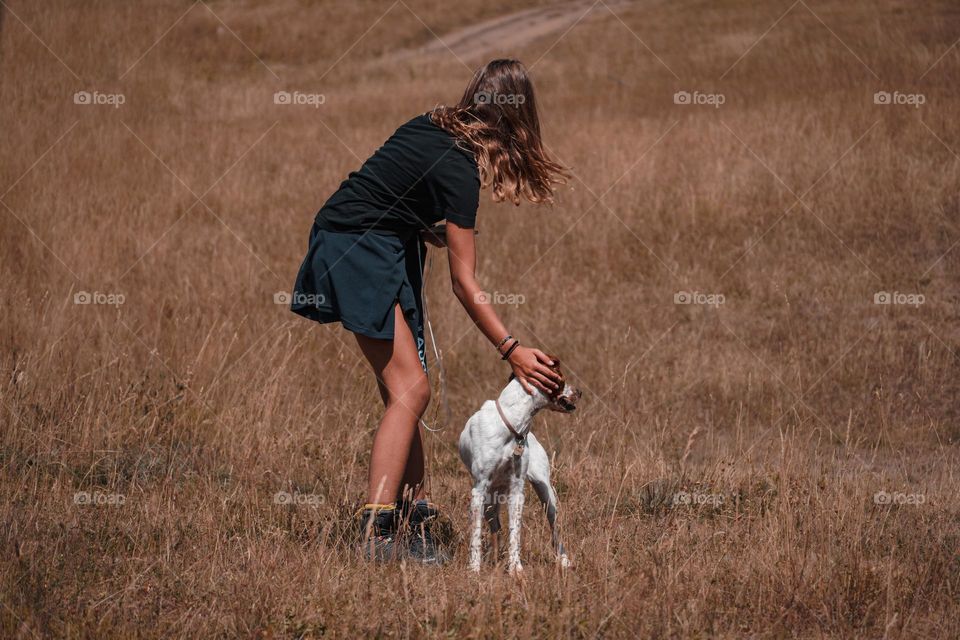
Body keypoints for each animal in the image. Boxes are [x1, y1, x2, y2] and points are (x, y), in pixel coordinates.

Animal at [460, 360, 580, 576]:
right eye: (562, 379)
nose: (580, 392)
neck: (514, 425)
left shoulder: (517, 491)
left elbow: (515, 533)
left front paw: (516, 568)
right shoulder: (479, 490)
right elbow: (476, 534)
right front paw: (474, 568)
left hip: (547, 495)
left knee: (555, 530)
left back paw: (564, 560)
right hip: (490, 500)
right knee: (495, 528)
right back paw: (493, 558)